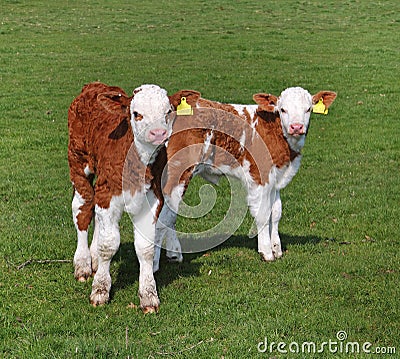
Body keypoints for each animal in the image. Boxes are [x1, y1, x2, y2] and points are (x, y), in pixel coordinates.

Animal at [69, 82, 200, 312]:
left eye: (168, 111)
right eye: (136, 114)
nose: (158, 133)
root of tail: (95, 85)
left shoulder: (153, 197)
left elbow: (145, 247)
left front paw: (148, 295)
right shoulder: (108, 193)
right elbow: (108, 244)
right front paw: (100, 290)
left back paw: (93, 259)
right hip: (78, 162)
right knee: (82, 209)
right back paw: (83, 263)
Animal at [155, 86, 336, 270]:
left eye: (308, 109)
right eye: (283, 109)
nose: (296, 127)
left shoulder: (275, 179)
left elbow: (276, 212)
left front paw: (277, 249)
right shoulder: (260, 176)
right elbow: (263, 214)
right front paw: (266, 252)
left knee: (170, 214)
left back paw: (174, 254)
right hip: (177, 173)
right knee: (164, 216)